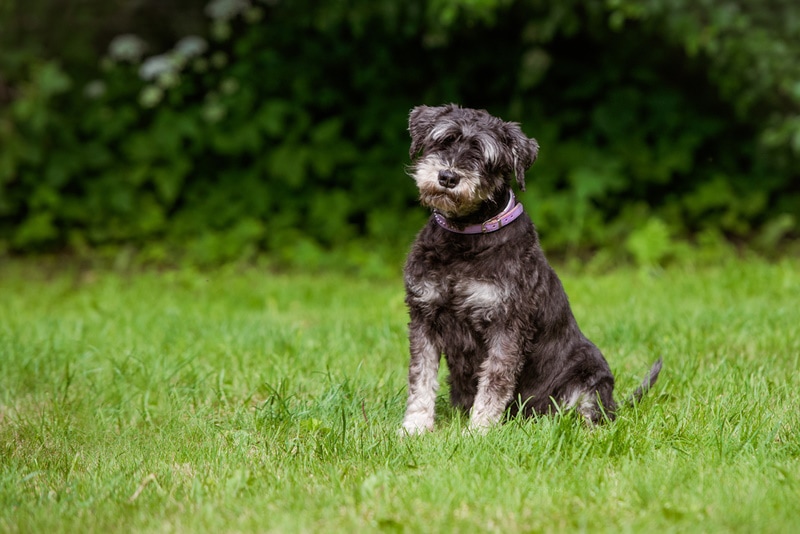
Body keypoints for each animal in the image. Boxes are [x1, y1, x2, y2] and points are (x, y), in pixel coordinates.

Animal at [396, 104, 660, 436]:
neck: (464, 238)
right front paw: (415, 427)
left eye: (485, 156)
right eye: (443, 141)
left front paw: (478, 432)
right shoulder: (424, 315)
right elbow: (421, 377)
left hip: (589, 374)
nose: (447, 176)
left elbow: (494, 382)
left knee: (591, 412)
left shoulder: (506, 324)